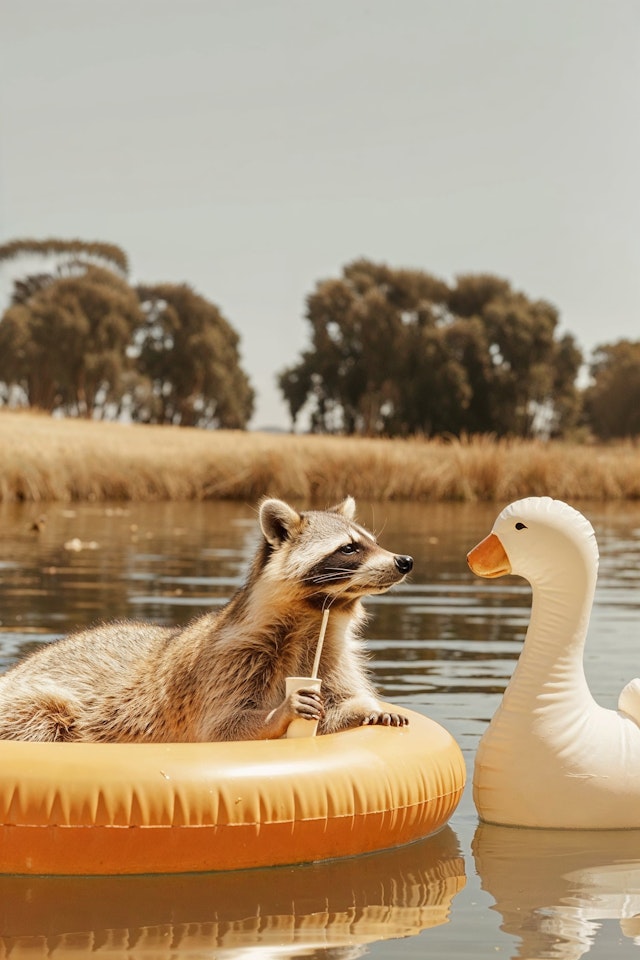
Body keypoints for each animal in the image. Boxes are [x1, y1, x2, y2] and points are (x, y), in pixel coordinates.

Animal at [0, 498, 412, 748]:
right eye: (349, 548)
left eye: (373, 541)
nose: (404, 561)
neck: (315, 616)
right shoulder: (231, 659)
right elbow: (221, 727)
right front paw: (279, 712)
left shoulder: (330, 653)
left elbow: (337, 703)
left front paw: (365, 707)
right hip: (32, 699)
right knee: (40, 717)